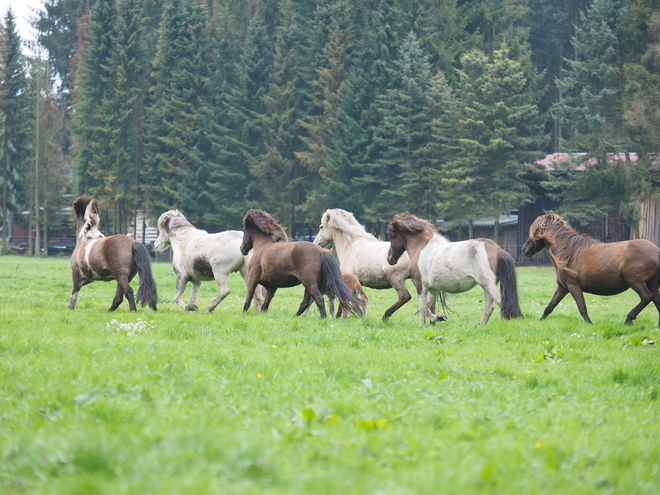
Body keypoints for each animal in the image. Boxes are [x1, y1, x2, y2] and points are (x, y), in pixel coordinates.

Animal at [386, 212, 520, 326]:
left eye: (391, 236)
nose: (390, 259)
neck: (422, 247)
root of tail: (497, 249)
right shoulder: (434, 289)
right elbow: (427, 307)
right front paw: (439, 317)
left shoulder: (421, 287)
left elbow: (422, 307)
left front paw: (422, 325)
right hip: (487, 286)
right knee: (489, 307)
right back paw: (481, 326)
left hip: (488, 284)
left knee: (501, 302)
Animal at [520, 212, 660, 326]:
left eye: (536, 231)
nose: (524, 249)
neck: (570, 252)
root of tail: (656, 251)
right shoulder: (563, 287)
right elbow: (550, 306)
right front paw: (540, 321)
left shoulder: (573, 286)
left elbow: (582, 307)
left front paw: (590, 324)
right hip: (652, 284)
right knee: (656, 301)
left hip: (635, 282)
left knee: (647, 297)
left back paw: (629, 319)